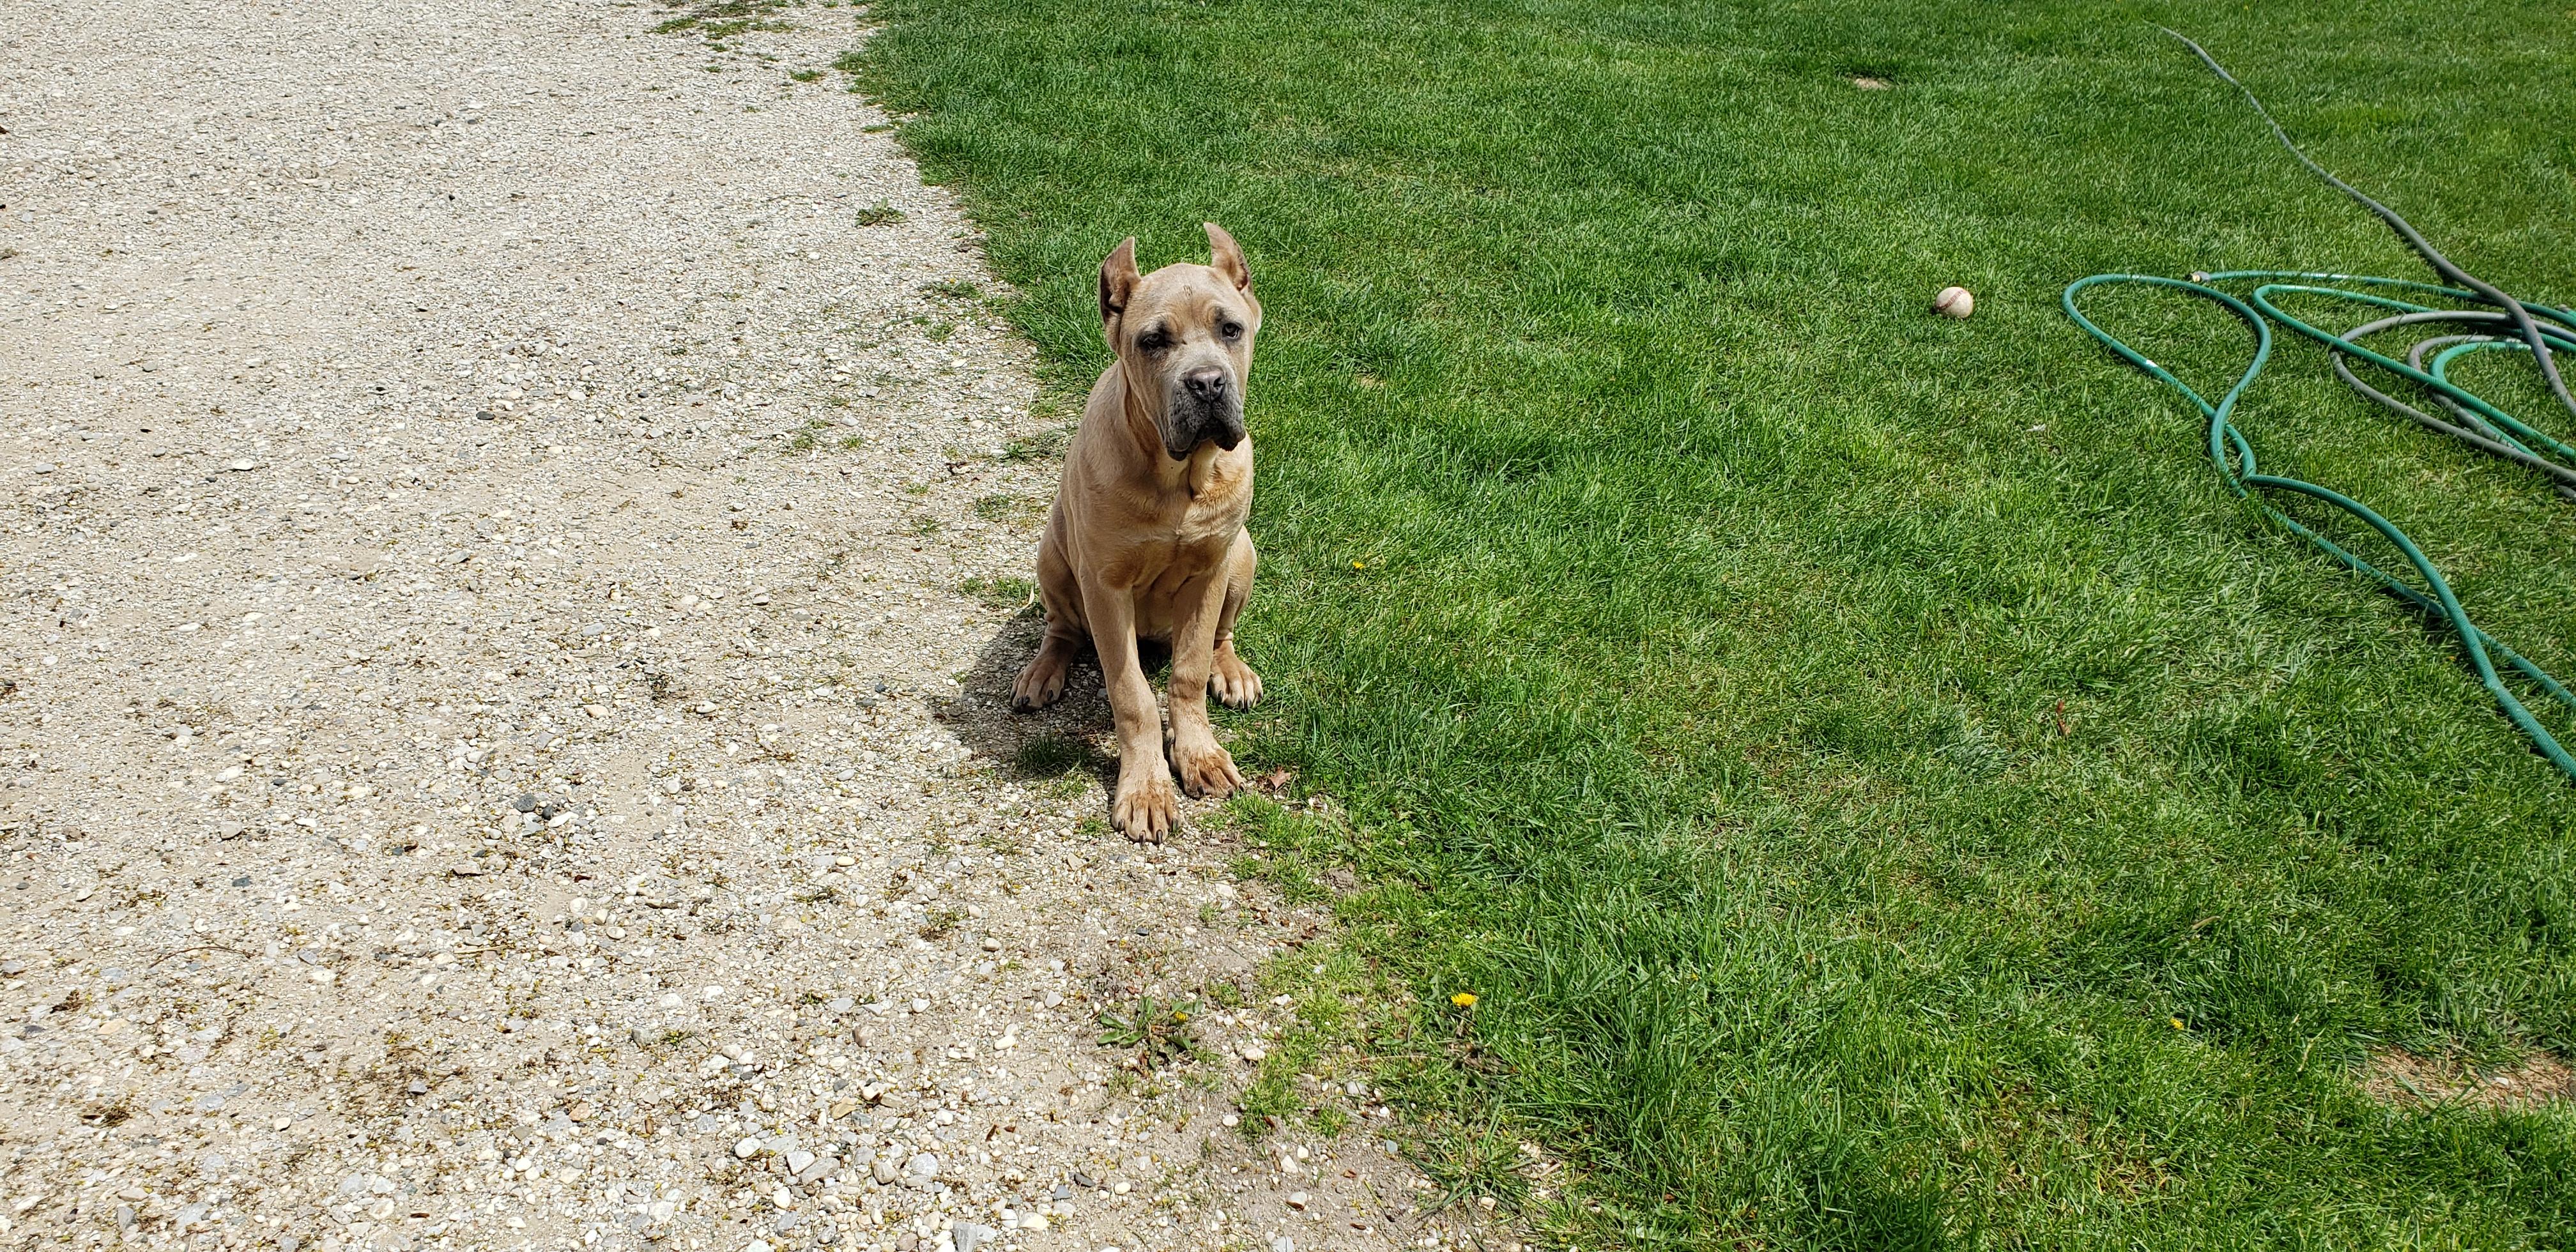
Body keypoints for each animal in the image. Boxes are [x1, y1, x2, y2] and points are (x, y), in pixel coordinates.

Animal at [1011, 224, 1264, 841]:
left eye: (1230, 329)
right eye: (1153, 341)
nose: (1207, 384)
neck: (1179, 477)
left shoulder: (1209, 573)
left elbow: (1189, 673)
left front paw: (1198, 754)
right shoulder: (1106, 586)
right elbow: (1132, 696)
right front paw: (1147, 788)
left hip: (1242, 554)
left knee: (1219, 638)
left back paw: (1233, 672)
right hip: (1054, 554)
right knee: (1061, 629)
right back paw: (1041, 671)